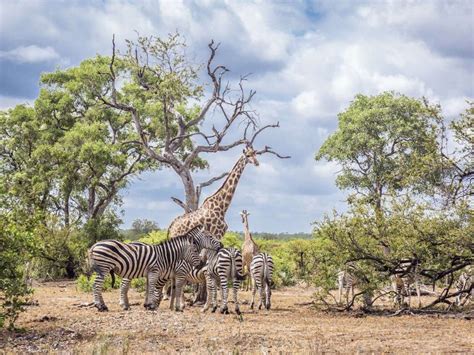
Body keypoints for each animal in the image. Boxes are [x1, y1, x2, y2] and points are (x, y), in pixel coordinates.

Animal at [89, 228, 218, 312]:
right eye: (210, 237)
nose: (202, 264)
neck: (167, 255)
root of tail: (95, 245)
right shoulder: (170, 272)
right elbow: (161, 289)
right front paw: (154, 306)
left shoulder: (167, 274)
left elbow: (169, 290)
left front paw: (168, 306)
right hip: (105, 267)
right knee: (98, 285)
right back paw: (103, 306)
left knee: (102, 286)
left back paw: (113, 305)